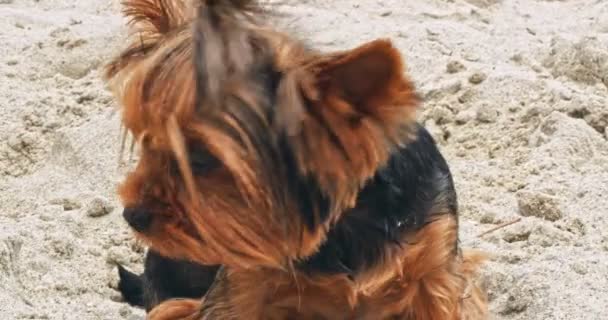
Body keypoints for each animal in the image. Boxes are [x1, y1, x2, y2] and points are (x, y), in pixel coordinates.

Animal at [102, 0, 486, 318]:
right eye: (147, 143)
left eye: (200, 159)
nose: (132, 215)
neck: (344, 224)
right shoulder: (243, 287)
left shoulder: (434, 272)